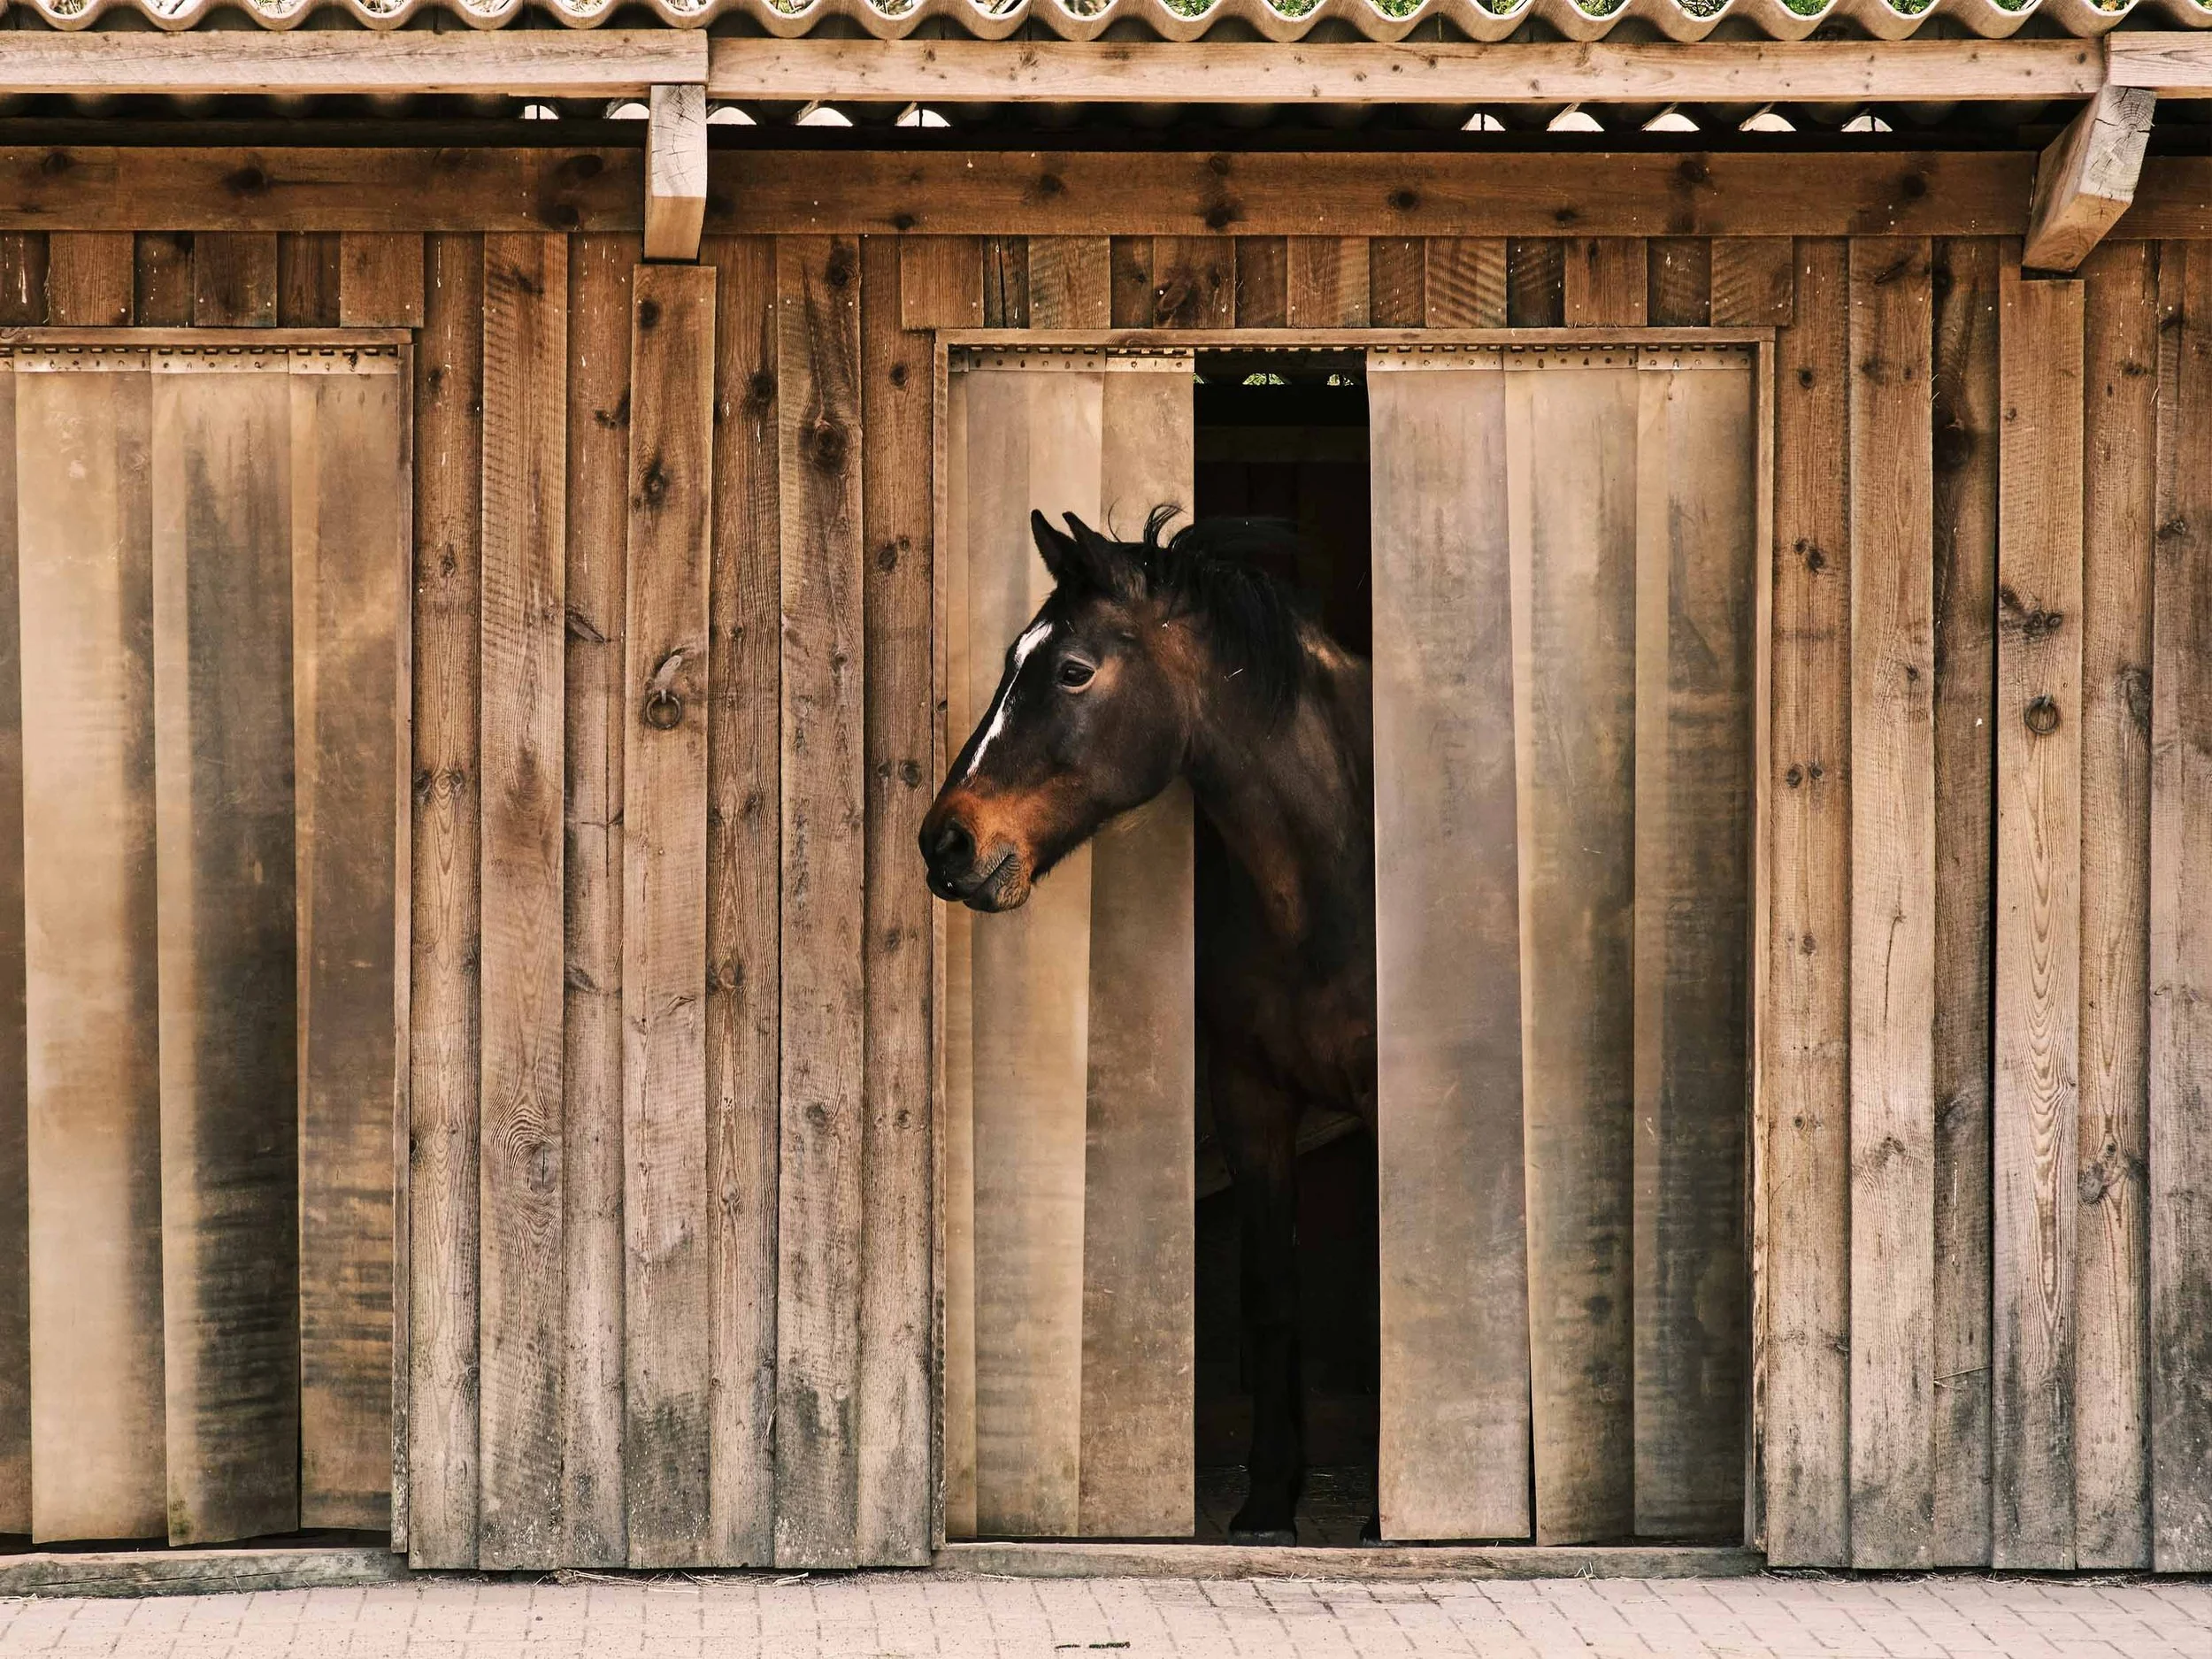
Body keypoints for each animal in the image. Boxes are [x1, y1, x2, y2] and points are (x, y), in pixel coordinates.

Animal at [920, 506, 1378, 1546]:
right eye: (1013, 658)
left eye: (1072, 670)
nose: (945, 843)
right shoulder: (1250, 1101)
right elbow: (1269, 1295)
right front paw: (1267, 1502)